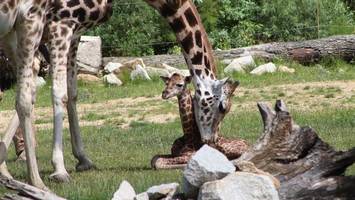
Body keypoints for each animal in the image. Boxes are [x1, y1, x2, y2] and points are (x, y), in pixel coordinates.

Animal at [1, 0, 234, 188]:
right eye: (222, 107)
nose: (211, 142)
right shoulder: (60, 24)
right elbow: (57, 93)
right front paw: (59, 169)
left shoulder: (72, 32)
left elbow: (69, 92)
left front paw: (82, 159)